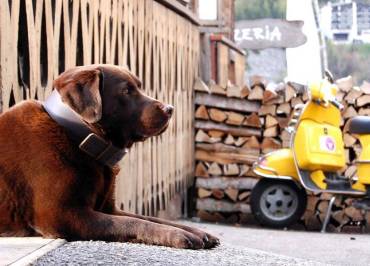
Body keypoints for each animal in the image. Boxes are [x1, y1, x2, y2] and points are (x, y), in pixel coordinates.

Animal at [0, 64, 220, 249]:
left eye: (139, 87)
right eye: (126, 91)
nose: (170, 109)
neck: (77, 134)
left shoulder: (109, 207)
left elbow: (149, 218)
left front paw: (197, 232)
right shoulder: (63, 215)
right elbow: (133, 222)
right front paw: (178, 235)